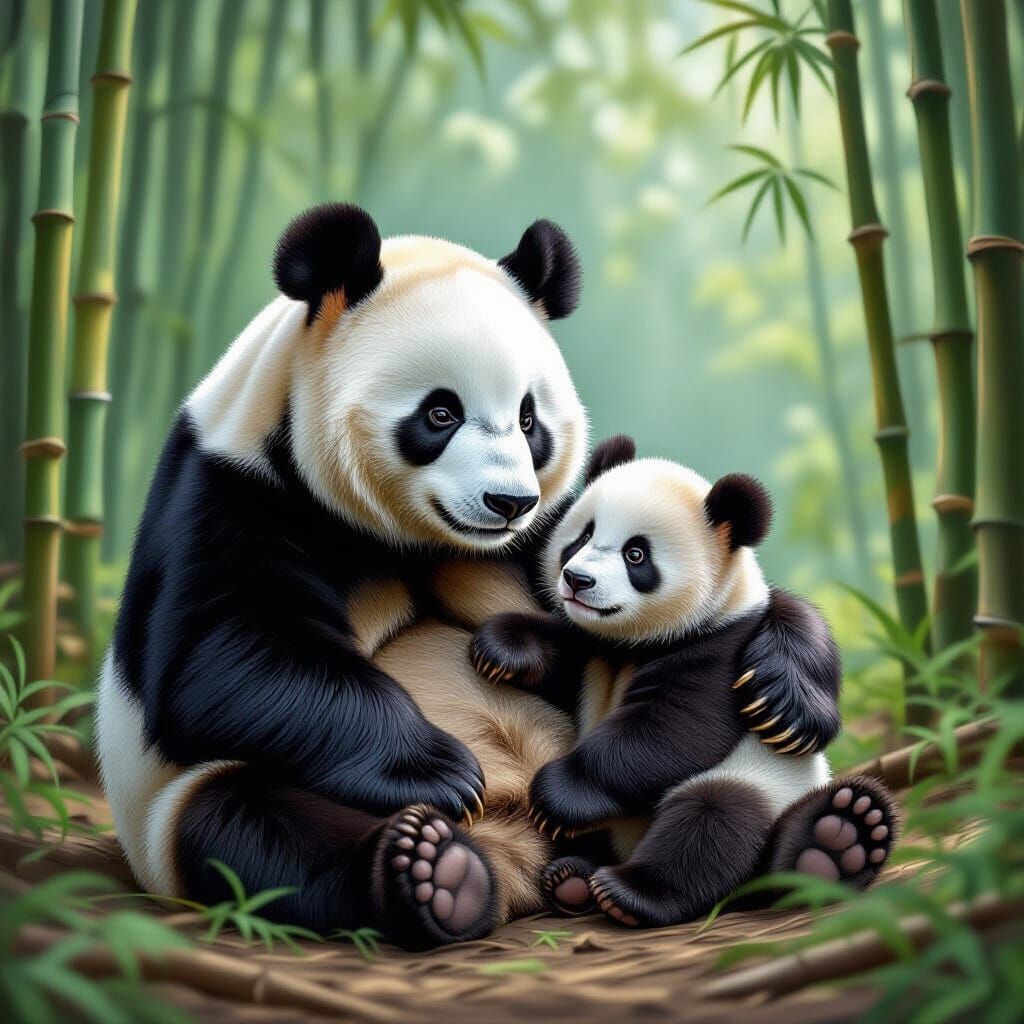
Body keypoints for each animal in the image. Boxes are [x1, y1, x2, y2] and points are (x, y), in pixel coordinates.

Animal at [97, 203, 849, 951]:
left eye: (529, 419)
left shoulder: (546, 532)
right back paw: (433, 872)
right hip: (174, 809)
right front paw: (439, 769)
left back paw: (826, 842)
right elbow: (223, 656)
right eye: (440, 412)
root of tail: (517, 854)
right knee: (251, 824)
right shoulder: (233, 492)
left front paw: (783, 695)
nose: (508, 502)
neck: (413, 536)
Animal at [470, 437, 897, 927]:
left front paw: (556, 795)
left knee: (709, 823)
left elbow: (669, 729)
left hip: (755, 782)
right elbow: (564, 652)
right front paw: (502, 647)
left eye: (636, 555)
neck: (637, 643)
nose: (577, 579)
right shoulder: (595, 647)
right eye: (582, 536)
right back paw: (573, 878)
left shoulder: (720, 650)